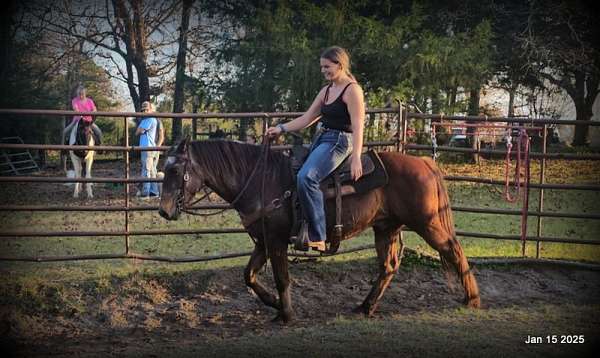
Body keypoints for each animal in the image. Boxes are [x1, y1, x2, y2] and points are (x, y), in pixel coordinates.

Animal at [158, 138, 478, 324]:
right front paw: (274, 304)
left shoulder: (276, 241)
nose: (163, 211)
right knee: (388, 267)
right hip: (385, 228)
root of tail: (424, 162)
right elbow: (248, 276)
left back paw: (472, 299)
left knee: (454, 250)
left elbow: (282, 278)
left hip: (427, 223)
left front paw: (285, 314)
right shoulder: (263, 242)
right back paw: (365, 307)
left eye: (175, 170)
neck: (261, 180)